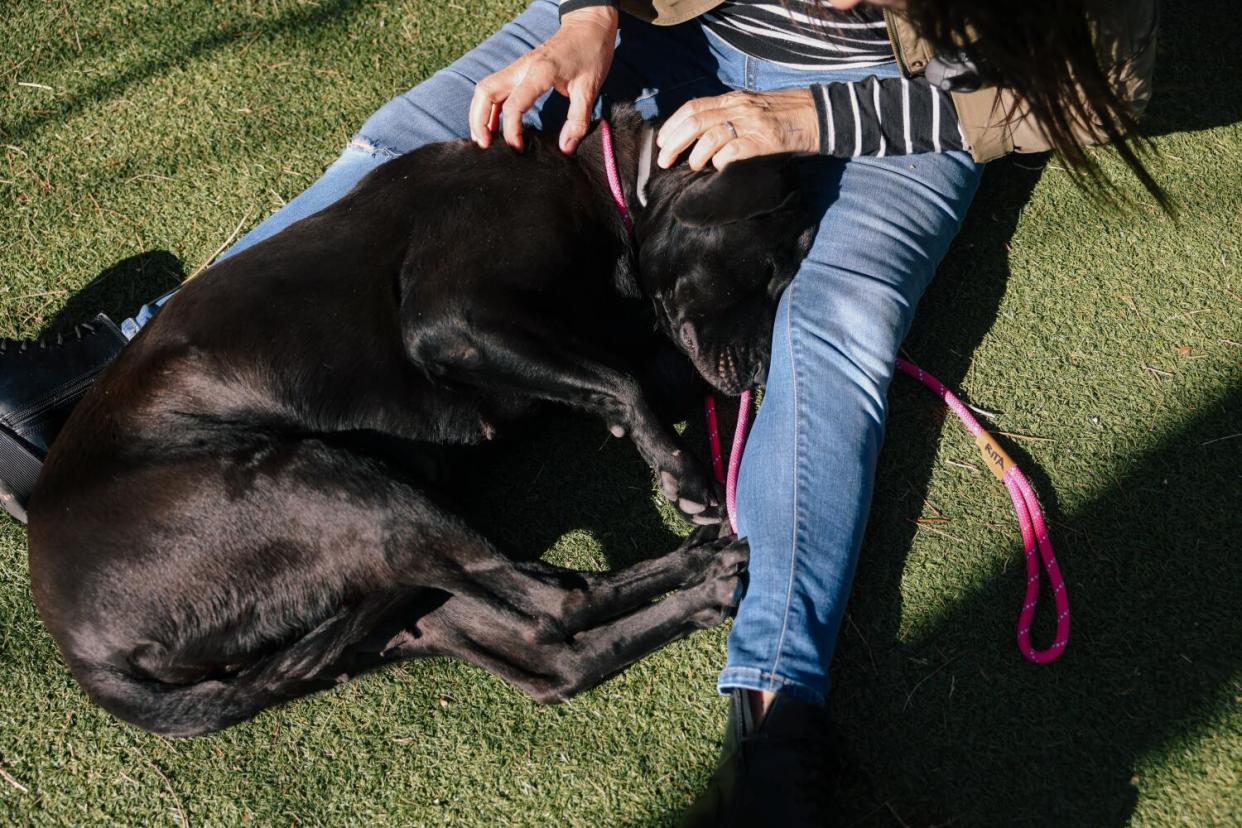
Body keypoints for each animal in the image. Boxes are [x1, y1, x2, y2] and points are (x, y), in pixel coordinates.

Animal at [24, 105, 814, 739]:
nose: (764, 377)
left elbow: (632, 373)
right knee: (556, 603)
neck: (601, 182)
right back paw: (703, 563)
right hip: (334, 487)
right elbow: (622, 380)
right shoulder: (450, 318)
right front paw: (683, 473)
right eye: (765, 270)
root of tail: (90, 661)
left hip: (394, 586)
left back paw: (702, 591)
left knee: (553, 653)